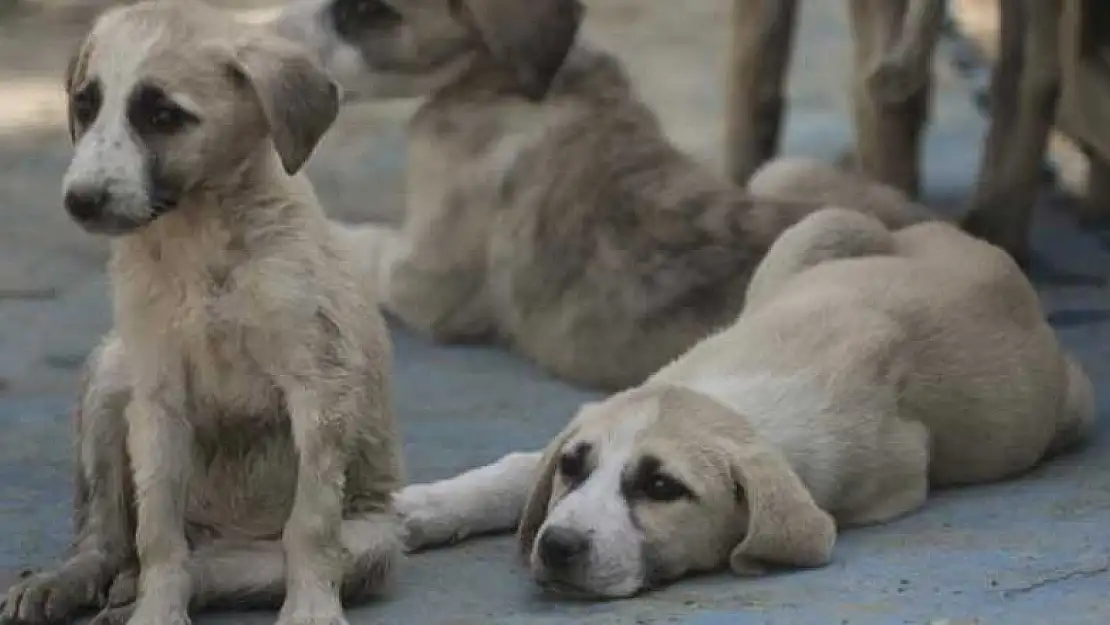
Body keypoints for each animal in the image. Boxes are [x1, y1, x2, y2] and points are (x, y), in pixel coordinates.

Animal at [3, 2, 404, 621]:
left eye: (164, 116)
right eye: (85, 105)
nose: (81, 201)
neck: (198, 240)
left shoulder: (319, 388)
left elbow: (310, 526)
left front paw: (311, 609)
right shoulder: (157, 396)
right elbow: (158, 531)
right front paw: (157, 611)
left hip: (372, 538)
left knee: (237, 562)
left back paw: (131, 591)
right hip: (111, 376)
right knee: (108, 539)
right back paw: (68, 582)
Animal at [275, 0, 936, 390]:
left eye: (369, 13)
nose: (269, 32)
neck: (507, 81)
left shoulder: (419, 279)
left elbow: (353, 240)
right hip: (783, 171)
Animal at [392, 209, 1092, 595]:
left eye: (663, 488)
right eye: (573, 467)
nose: (558, 546)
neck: (737, 410)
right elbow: (515, 470)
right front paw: (418, 510)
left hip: (1071, 407)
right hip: (822, 227)